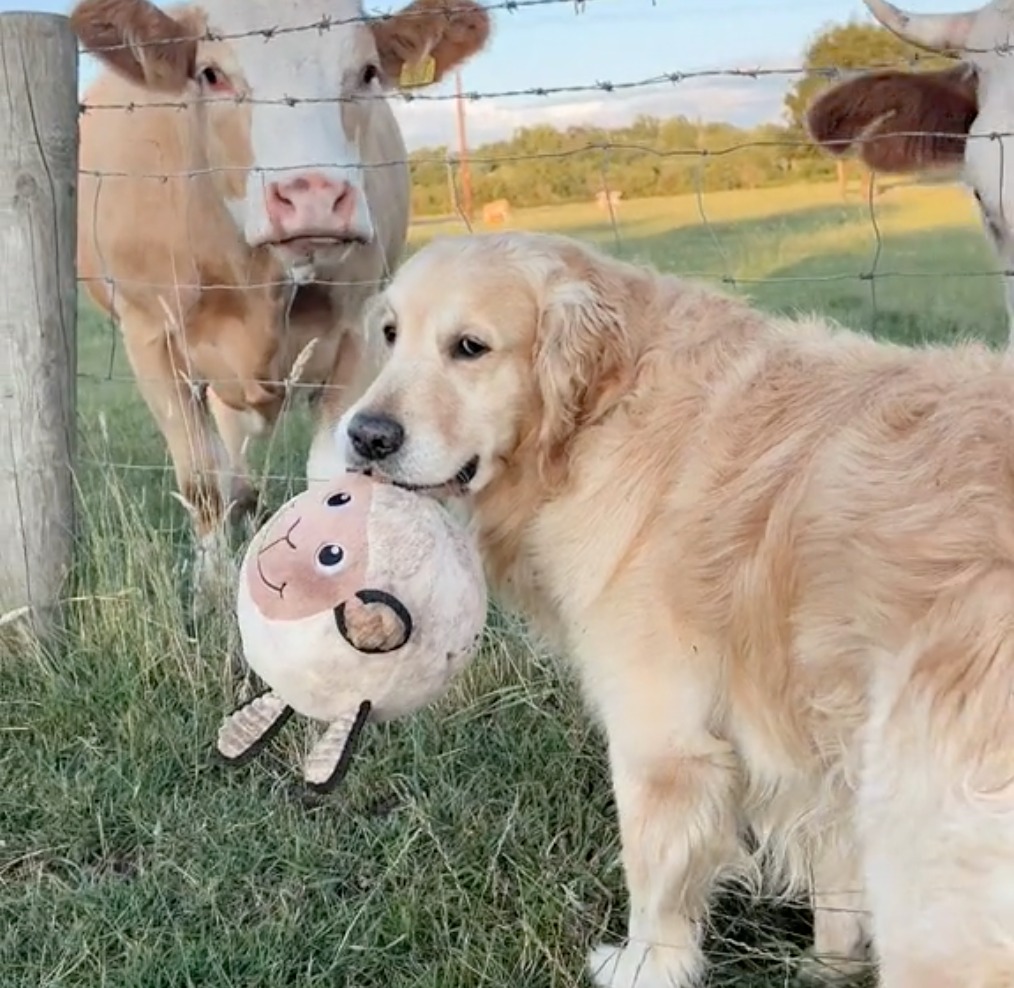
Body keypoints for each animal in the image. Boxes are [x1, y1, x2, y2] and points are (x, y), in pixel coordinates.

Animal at [71, 0, 490, 608]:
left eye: (367, 72)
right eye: (211, 74)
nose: (313, 196)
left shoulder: (359, 327)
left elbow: (333, 476)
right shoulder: (147, 331)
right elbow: (202, 479)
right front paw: (211, 583)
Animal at [308, 232, 1014, 988]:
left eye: (469, 347)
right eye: (389, 333)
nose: (365, 437)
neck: (603, 414)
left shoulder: (663, 746)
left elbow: (655, 879)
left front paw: (645, 964)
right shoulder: (812, 746)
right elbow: (833, 875)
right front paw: (828, 963)